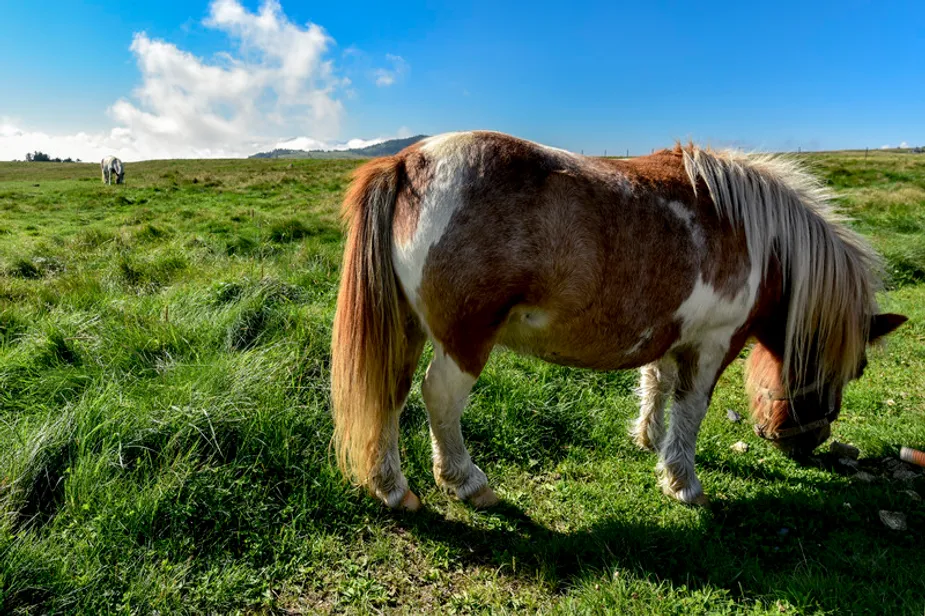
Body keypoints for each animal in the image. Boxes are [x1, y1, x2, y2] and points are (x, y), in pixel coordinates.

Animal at [328, 132, 904, 512]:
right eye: (854, 369)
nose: (804, 444)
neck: (758, 237)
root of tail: (408, 160)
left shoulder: (671, 331)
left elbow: (657, 383)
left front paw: (649, 439)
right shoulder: (713, 342)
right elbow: (691, 407)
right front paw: (683, 481)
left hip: (405, 328)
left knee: (389, 392)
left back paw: (391, 487)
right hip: (465, 339)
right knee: (439, 399)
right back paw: (466, 482)